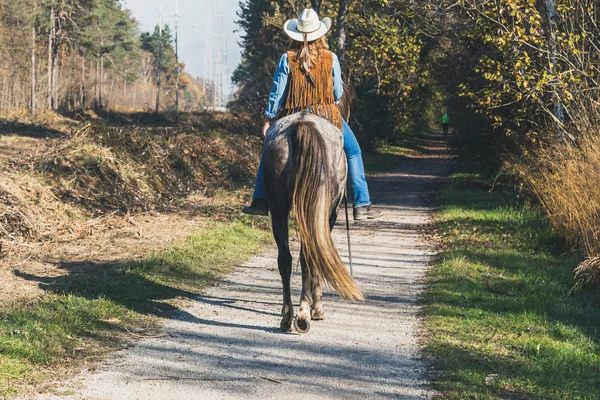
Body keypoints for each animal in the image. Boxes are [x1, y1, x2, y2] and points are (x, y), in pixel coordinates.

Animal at [264, 79, 366, 332]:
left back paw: (287, 317)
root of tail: (301, 125)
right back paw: (303, 314)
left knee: (286, 258)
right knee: (308, 256)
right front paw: (316, 308)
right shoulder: (329, 214)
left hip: (278, 207)